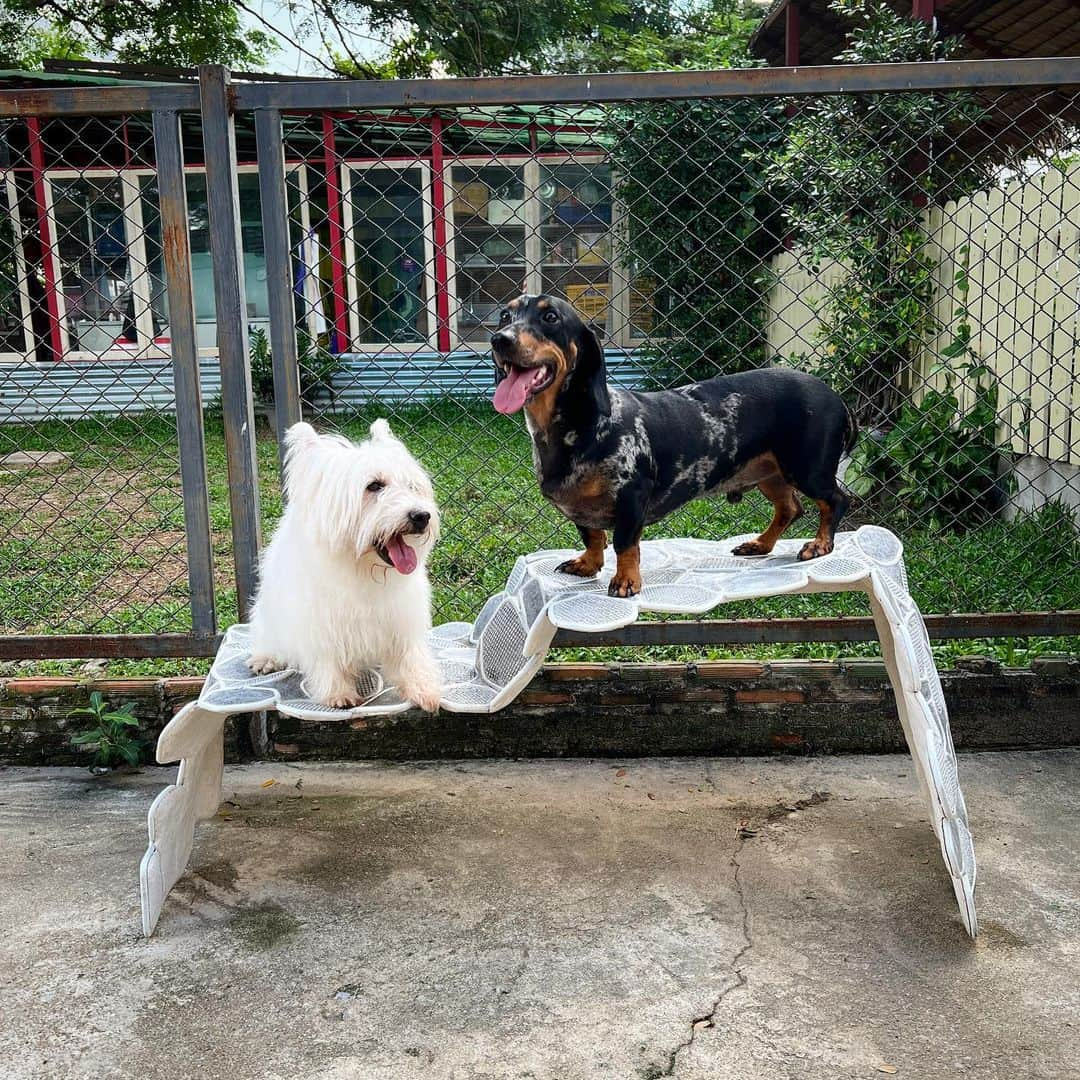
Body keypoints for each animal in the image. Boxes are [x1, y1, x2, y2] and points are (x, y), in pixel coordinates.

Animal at [247, 416, 440, 712]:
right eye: (374, 485)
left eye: (412, 486)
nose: (421, 516)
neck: (360, 568)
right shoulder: (320, 621)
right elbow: (328, 657)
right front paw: (337, 692)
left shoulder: (401, 618)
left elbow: (410, 654)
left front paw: (422, 687)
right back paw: (265, 657)